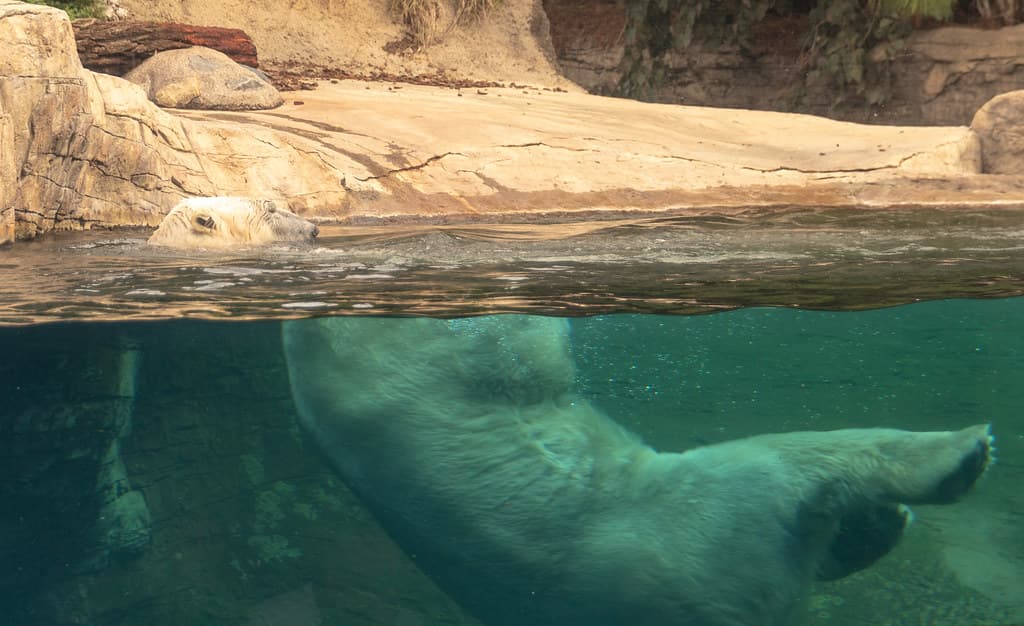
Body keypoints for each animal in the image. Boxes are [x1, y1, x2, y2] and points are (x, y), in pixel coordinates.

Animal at [281, 315, 993, 626]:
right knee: (787, 472)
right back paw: (956, 456)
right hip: (690, 528)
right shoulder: (408, 361)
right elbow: (514, 347)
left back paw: (877, 528)